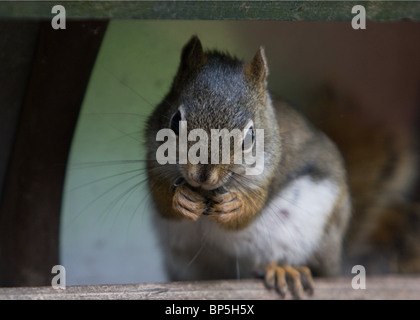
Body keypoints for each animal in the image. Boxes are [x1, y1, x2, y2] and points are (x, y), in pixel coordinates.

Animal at [146, 36, 352, 298]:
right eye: (174, 121)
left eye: (250, 136)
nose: (202, 176)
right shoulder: (153, 161)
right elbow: (162, 200)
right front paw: (181, 199)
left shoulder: (267, 173)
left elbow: (248, 212)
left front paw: (234, 206)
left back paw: (282, 269)